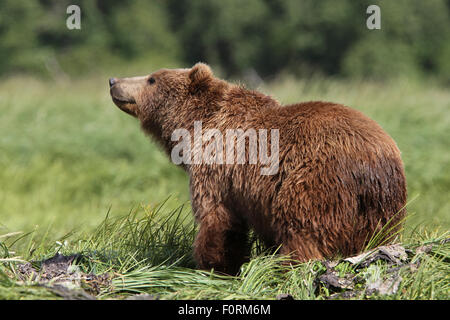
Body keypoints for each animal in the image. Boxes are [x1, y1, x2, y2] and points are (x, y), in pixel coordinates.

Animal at [110, 63, 408, 276]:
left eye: (152, 78)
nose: (113, 81)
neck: (195, 127)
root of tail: (373, 163)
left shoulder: (217, 169)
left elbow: (218, 219)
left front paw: (214, 265)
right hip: (380, 210)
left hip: (314, 181)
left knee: (302, 228)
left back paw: (289, 264)